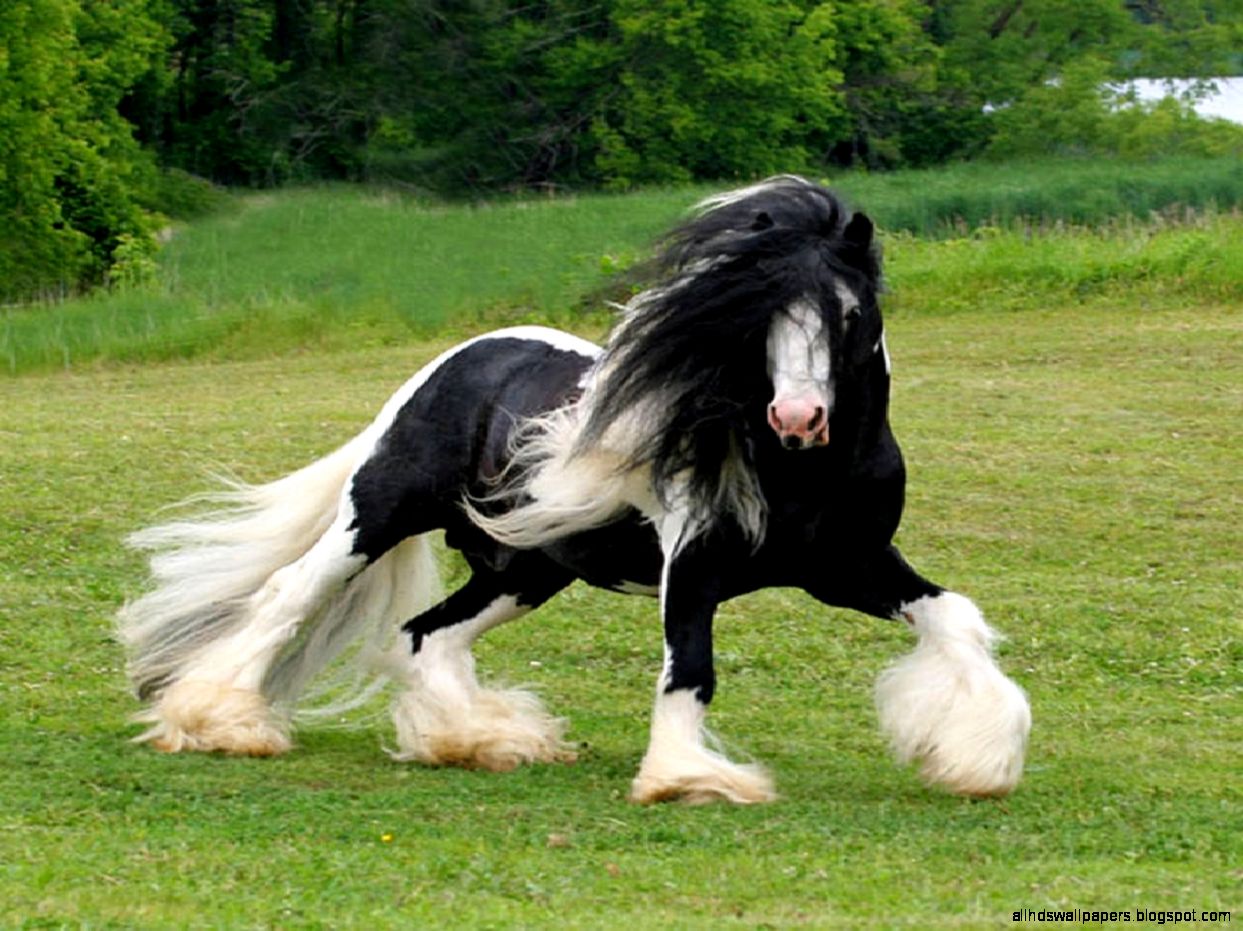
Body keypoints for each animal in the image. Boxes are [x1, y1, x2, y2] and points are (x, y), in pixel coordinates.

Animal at [117, 176, 1031, 804]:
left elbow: (954, 616)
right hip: (376, 513)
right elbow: (689, 669)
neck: (804, 472)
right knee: (285, 596)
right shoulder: (694, 567)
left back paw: (480, 739)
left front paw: (976, 757)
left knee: (425, 636)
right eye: (755, 317)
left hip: (526, 568)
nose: (797, 416)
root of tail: (459, 359)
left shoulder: (849, 567)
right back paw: (220, 722)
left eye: (846, 314)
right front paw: (685, 780)